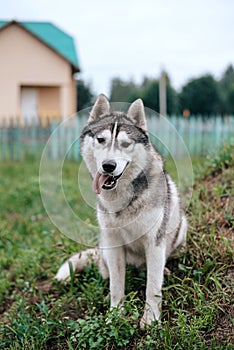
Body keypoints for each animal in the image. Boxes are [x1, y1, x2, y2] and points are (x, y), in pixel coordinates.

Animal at [55, 94, 187, 326]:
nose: (108, 166)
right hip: (105, 245)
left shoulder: (154, 241)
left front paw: (150, 319)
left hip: (180, 228)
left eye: (125, 144)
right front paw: (115, 316)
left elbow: (152, 287)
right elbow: (116, 286)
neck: (121, 195)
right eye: (101, 140)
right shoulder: (114, 243)